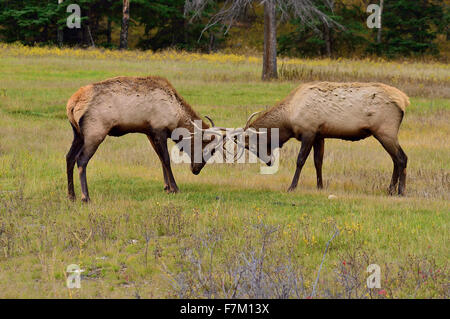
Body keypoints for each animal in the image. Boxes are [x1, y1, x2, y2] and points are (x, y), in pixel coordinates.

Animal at [66, 76, 220, 202]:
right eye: (211, 150)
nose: (196, 170)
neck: (176, 117)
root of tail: (72, 104)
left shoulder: (150, 133)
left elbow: (160, 159)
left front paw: (167, 187)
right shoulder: (159, 130)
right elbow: (166, 159)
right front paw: (174, 188)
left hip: (78, 134)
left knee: (69, 157)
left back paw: (71, 195)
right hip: (95, 133)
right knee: (81, 159)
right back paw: (85, 197)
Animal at [237, 81, 410, 196]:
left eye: (251, 145)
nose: (269, 162)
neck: (289, 118)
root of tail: (404, 101)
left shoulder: (309, 131)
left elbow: (300, 160)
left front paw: (292, 187)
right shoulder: (319, 135)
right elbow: (318, 161)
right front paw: (320, 186)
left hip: (385, 131)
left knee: (402, 158)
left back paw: (400, 191)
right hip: (385, 133)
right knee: (396, 159)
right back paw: (391, 189)